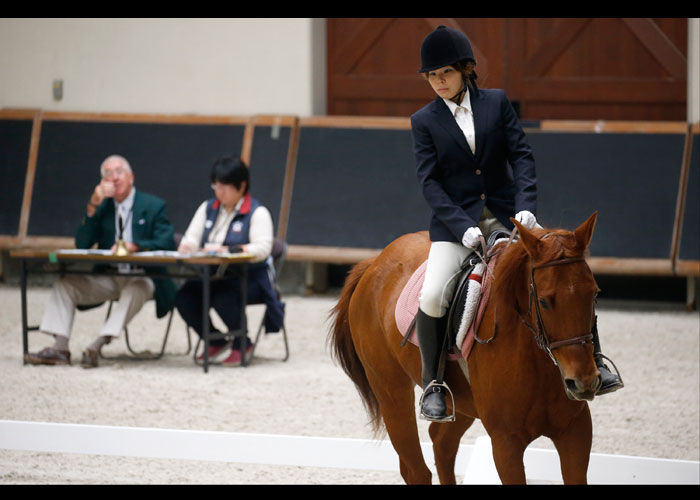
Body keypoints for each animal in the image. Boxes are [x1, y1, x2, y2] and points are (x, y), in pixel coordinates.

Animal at [330, 213, 600, 482]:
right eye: (544, 301)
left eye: (595, 294)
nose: (583, 382)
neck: (537, 362)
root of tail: (374, 263)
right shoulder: (506, 442)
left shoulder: (576, 431)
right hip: (391, 393)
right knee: (416, 470)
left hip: (461, 404)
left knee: (441, 443)